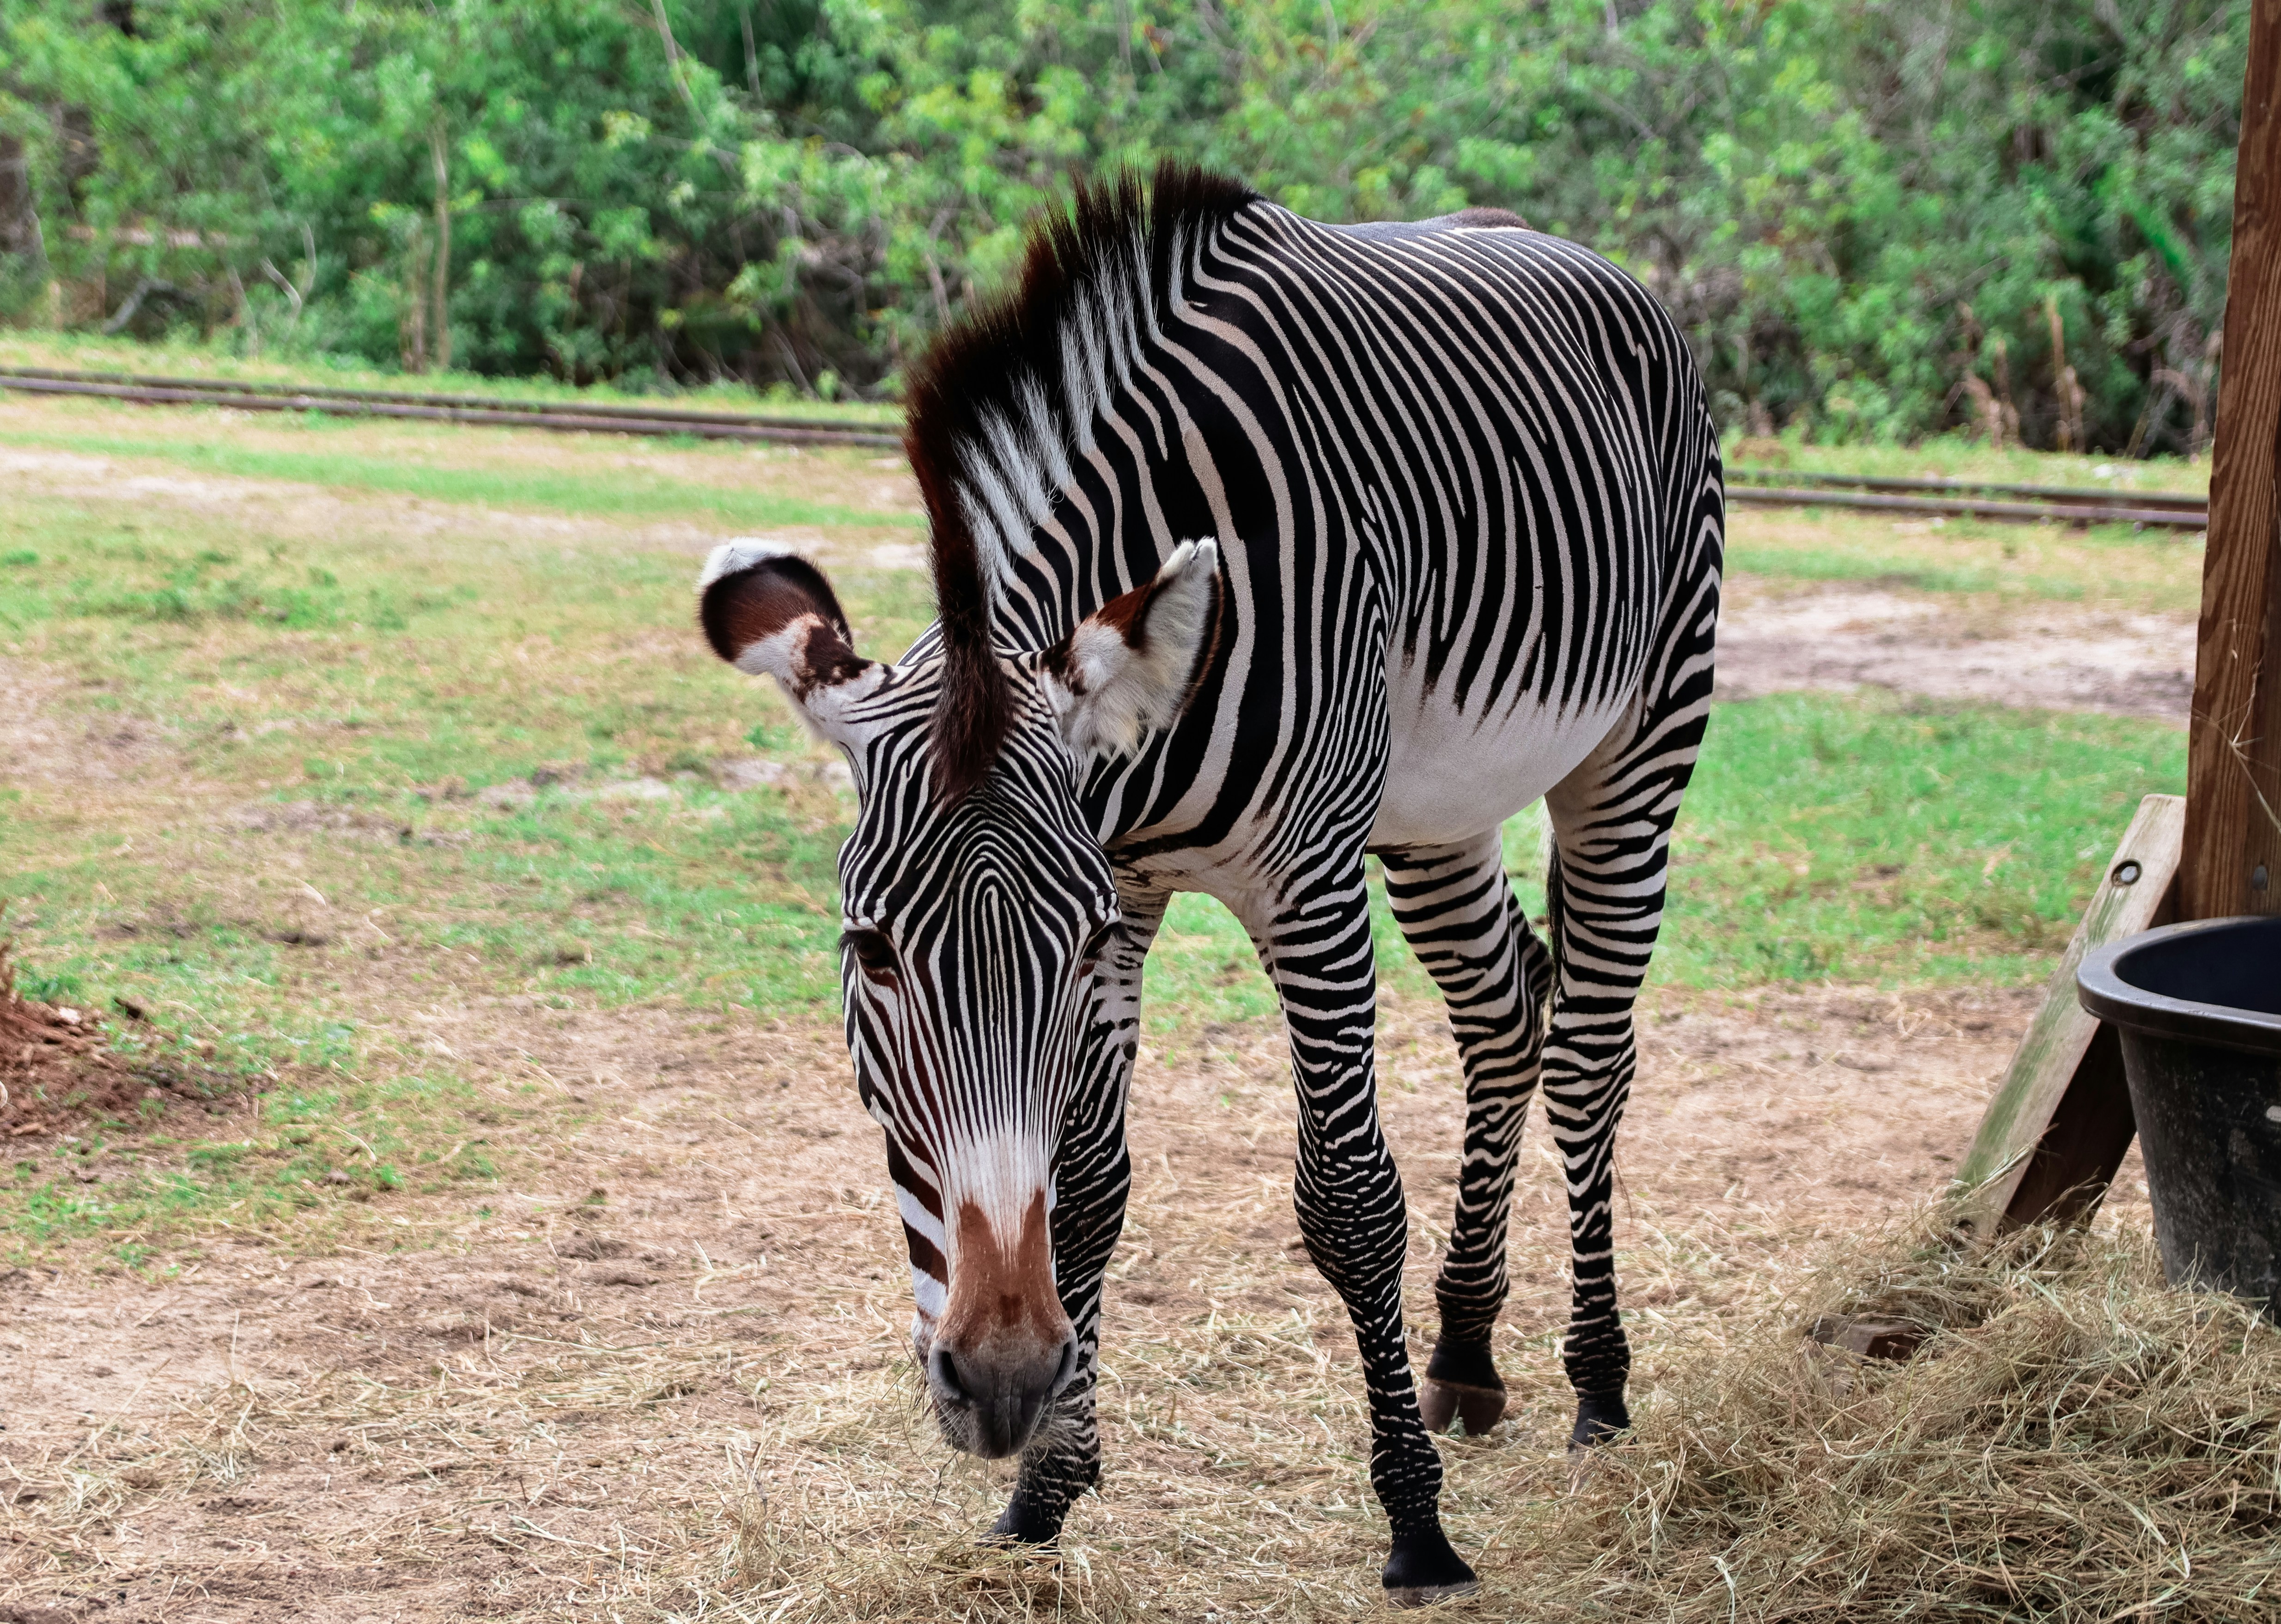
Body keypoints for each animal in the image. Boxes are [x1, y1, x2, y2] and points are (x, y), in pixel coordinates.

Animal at [696, 163, 1723, 1604]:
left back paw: (1598, 1388)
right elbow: (1087, 1185)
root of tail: (1570, 251)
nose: (999, 1384)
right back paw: (1466, 1353)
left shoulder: (1296, 882)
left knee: (1589, 1052)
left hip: (1639, 738)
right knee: (1508, 1013)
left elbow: (1347, 1197)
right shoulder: (1126, 879)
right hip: (1433, 809)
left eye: (1065, 950)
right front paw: (1045, 1487)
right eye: (872, 952)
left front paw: (1417, 1527)